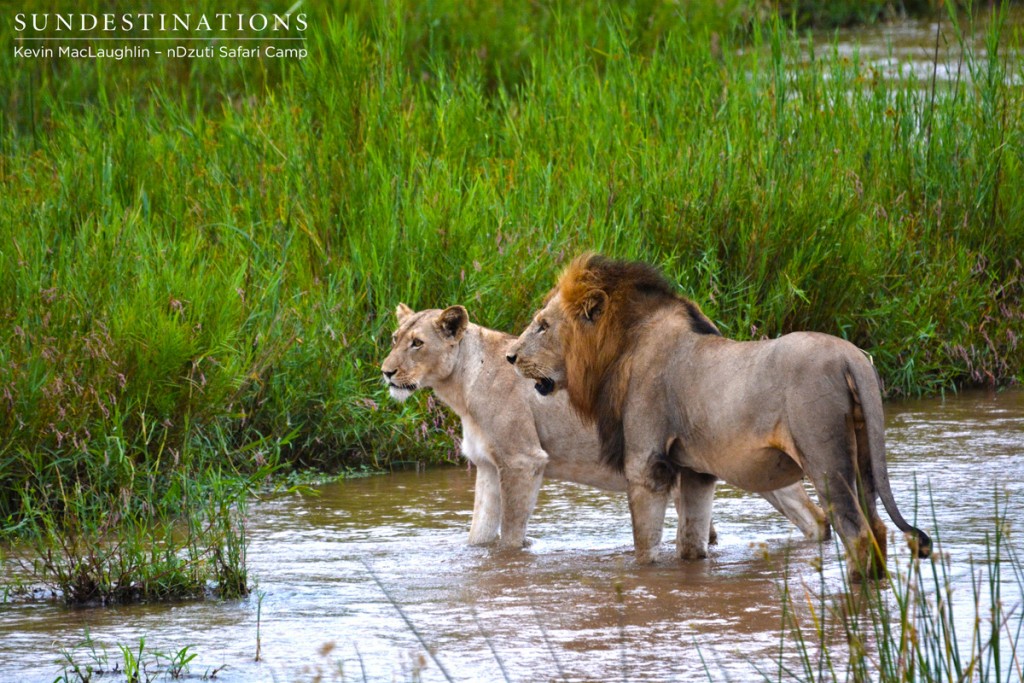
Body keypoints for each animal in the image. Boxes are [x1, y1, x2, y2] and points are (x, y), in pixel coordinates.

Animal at [380, 307, 827, 552]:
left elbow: (510, 536)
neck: (459, 387)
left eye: (417, 343)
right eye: (394, 338)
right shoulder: (490, 468)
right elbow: (479, 536)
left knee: (815, 517)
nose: (385, 372)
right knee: (813, 521)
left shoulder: (523, 460)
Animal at [507, 255, 933, 581]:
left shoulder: (647, 463)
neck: (620, 348)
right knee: (877, 527)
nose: (510, 356)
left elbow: (645, 548)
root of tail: (852, 357)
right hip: (862, 458)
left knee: (856, 532)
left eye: (543, 325)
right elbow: (690, 544)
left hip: (826, 458)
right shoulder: (697, 470)